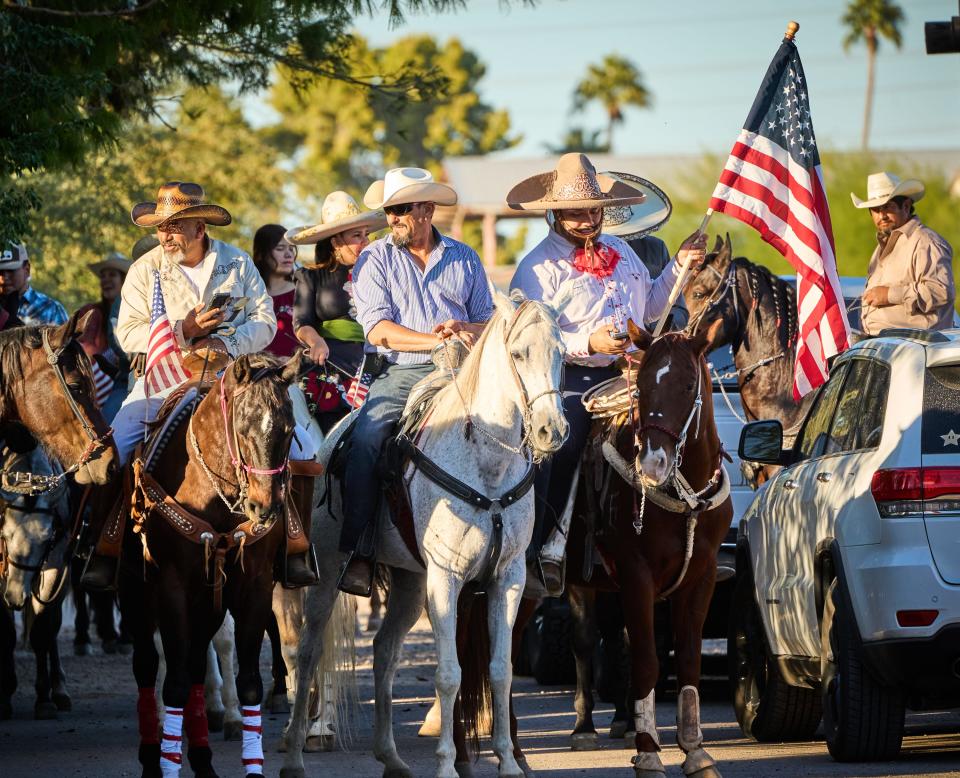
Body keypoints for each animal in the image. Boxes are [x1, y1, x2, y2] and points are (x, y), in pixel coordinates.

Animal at [124, 354, 302, 776]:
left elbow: (247, 680)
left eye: (289, 430)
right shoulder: (171, 588)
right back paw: (152, 756)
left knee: (194, 666)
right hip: (136, 594)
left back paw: (203, 759)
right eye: (243, 428)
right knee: (147, 665)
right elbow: (172, 682)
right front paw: (168, 764)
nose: (264, 507)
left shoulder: (254, 588)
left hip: (208, 606)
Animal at [280, 292, 568, 776]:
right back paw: (296, 754)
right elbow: (449, 674)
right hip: (329, 571)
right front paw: (448, 764)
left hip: (411, 583)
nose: (553, 430)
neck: (486, 465)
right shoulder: (447, 577)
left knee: (384, 652)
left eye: (561, 353)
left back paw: (390, 756)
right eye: (518, 354)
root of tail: (330, 440)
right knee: (308, 650)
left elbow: (501, 670)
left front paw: (509, 763)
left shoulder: (506, 578)